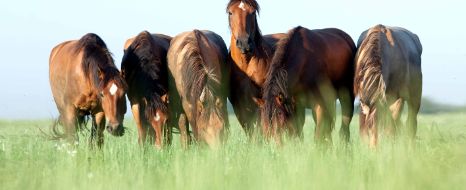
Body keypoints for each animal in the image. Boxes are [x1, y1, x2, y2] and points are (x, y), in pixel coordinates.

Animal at [227, 0, 286, 137]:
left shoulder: (265, 101)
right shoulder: (241, 106)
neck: (246, 65)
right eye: (230, 12)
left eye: (253, 12)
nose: (244, 43)